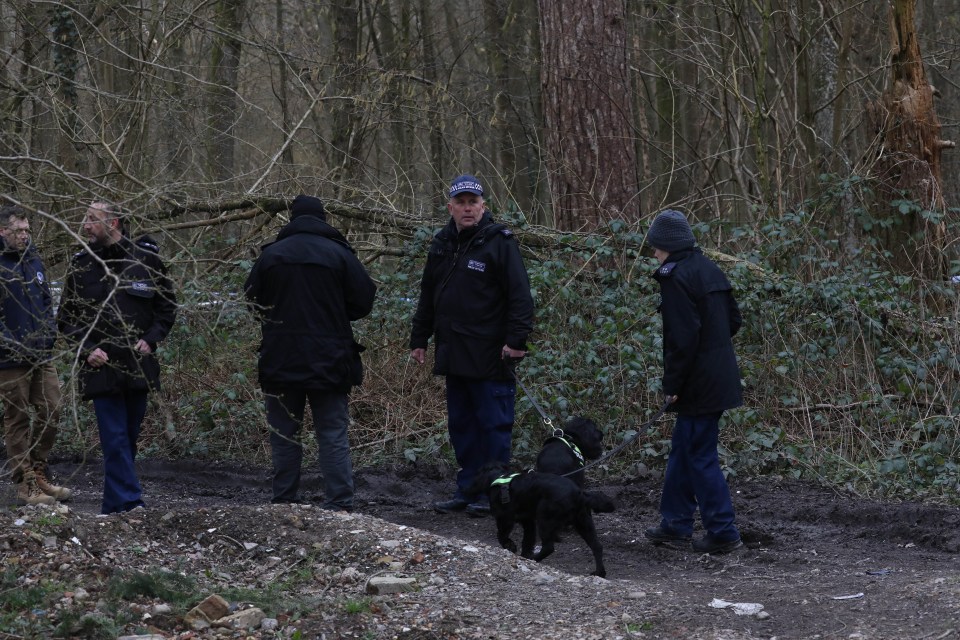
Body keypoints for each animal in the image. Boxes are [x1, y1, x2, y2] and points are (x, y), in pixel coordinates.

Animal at [466, 462, 616, 576]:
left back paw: (534, 559)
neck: (498, 478)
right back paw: (599, 573)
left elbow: (501, 536)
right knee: (597, 546)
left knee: (549, 547)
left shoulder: (505, 520)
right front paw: (524, 554)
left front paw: (511, 547)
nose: (466, 487)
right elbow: (527, 541)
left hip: (545, 519)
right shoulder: (528, 522)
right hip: (584, 523)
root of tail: (579, 493)